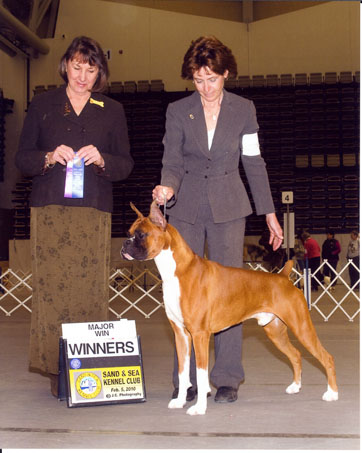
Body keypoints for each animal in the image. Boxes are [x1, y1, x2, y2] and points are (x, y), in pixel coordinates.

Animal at [121, 203, 336, 414]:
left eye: (141, 234)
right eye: (129, 232)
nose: (124, 244)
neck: (177, 270)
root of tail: (283, 277)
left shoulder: (199, 335)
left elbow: (201, 374)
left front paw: (199, 408)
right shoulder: (181, 335)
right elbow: (183, 373)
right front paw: (180, 401)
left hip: (302, 328)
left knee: (326, 357)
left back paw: (332, 394)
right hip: (275, 332)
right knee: (296, 355)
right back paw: (295, 387)